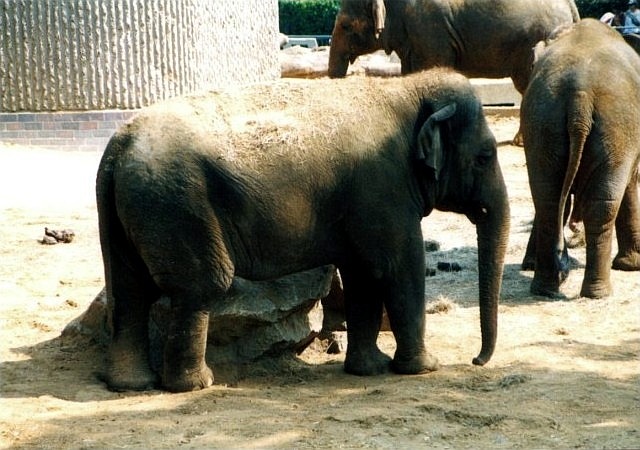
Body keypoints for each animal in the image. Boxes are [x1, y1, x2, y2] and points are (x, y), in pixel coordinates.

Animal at [96, 68, 510, 392]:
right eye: (485, 156)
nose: (476, 360)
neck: (406, 88)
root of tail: (117, 146)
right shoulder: (383, 190)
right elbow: (396, 266)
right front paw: (423, 369)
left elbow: (362, 273)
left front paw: (369, 369)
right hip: (179, 205)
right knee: (199, 287)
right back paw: (195, 385)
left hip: (134, 211)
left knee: (129, 289)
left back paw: (131, 384)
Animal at [520, 18, 640, 298]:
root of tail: (580, 94)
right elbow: (630, 185)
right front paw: (632, 266)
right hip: (617, 128)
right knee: (603, 204)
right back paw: (598, 291)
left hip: (543, 123)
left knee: (548, 202)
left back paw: (545, 288)